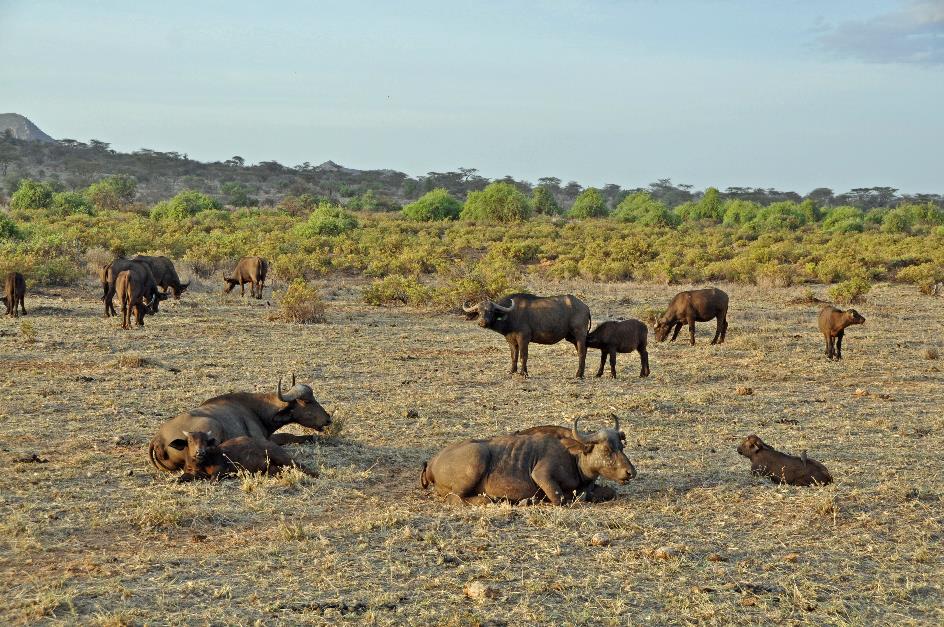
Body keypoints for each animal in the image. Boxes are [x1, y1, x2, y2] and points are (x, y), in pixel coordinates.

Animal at [149, 376, 334, 474]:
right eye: (308, 401)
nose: (328, 419)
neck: (256, 408)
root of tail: (158, 439)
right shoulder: (262, 439)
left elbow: (289, 435)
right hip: (213, 425)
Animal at [177, 430, 320, 484]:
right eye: (190, 441)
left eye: (206, 441)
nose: (200, 452)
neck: (200, 464)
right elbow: (183, 477)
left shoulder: (221, 468)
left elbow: (213, 478)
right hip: (271, 468)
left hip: (281, 456)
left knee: (299, 465)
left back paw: (315, 474)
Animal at [420, 418, 636, 506]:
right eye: (607, 449)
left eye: (621, 447)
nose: (630, 472)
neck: (573, 456)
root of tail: (432, 462)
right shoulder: (542, 475)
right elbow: (560, 499)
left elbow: (609, 492)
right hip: (477, 456)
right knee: (455, 498)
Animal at [462, 294, 592, 378]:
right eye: (479, 311)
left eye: (491, 311)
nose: (482, 322)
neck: (511, 315)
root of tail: (585, 307)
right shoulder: (511, 341)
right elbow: (514, 356)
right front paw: (512, 371)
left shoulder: (523, 339)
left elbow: (523, 356)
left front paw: (523, 373)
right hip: (571, 337)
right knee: (583, 351)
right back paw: (581, 373)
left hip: (579, 335)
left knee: (582, 352)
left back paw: (578, 375)